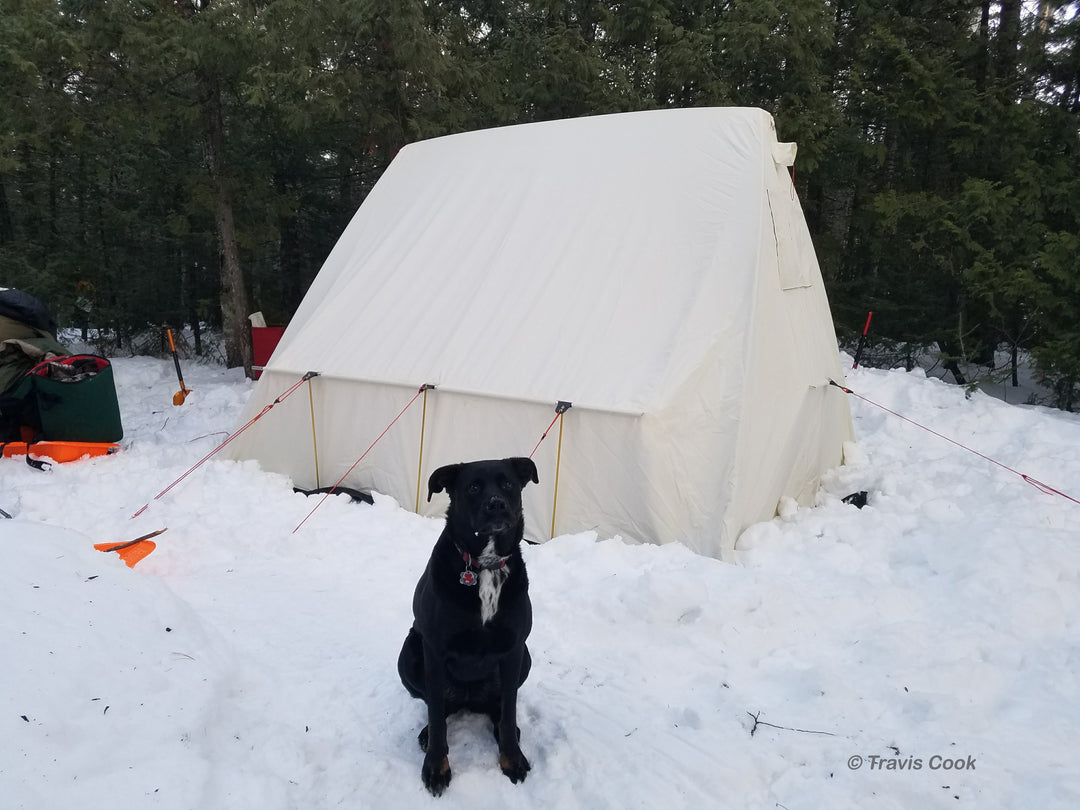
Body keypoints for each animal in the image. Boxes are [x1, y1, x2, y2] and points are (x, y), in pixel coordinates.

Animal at [397, 460, 540, 794]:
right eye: (473, 487)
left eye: (508, 484)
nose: (496, 504)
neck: (485, 566)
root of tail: (469, 700)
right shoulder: (435, 650)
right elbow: (437, 717)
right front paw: (436, 768)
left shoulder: (514, 648)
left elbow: (510, 708)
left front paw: (512, 759)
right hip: (408, 652)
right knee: (436, 706)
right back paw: (427, 733)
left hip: (526, 658)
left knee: (498, 707)